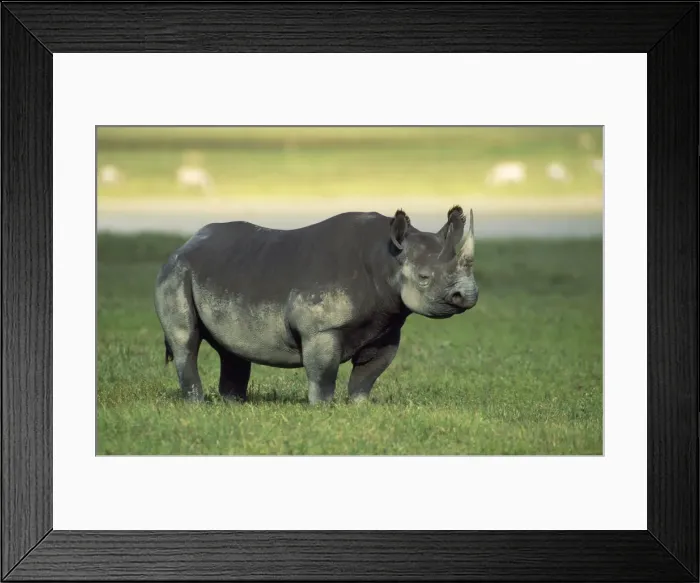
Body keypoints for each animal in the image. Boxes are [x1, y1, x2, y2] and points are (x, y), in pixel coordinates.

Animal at [154, 205, 478, 404]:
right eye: (424, 278)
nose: (468, 295)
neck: (387, 259)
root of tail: (185, 244)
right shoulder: (321, 329)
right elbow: (323, 372)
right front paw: (323, 408)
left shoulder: (386, 325)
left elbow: (368, 374)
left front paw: (360, 407)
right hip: (176, 272)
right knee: (186, 341)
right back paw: (197, 405)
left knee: (231, 349)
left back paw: (234, 404)